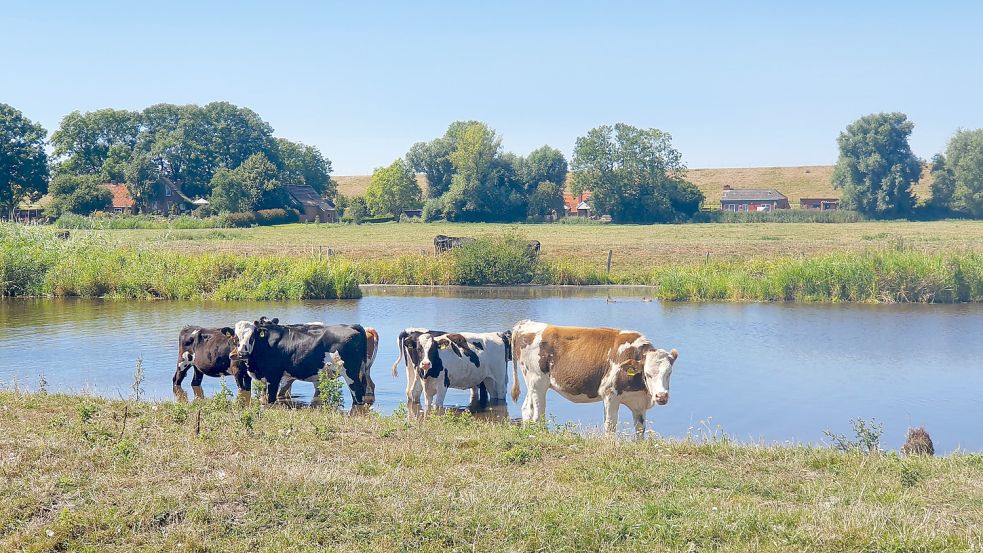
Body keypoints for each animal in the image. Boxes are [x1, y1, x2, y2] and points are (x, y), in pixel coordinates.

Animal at [229, 316, 378, 404]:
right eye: (236, 338)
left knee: (358, 393)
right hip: (361, 371)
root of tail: (352, 326)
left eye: (252, 336)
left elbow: (271, 399)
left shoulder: (273, 376)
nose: (242, 353)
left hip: (350, 373)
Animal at [512, 320, 680, 436]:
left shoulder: (638, 401)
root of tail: (525, 324)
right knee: (538, 415)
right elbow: (610, 426)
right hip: (538, 382)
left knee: (527, 410)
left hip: (533, 385)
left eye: (669, 373)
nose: (661, 396)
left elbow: (640, 429)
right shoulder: (610, 394)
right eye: (648, 374)